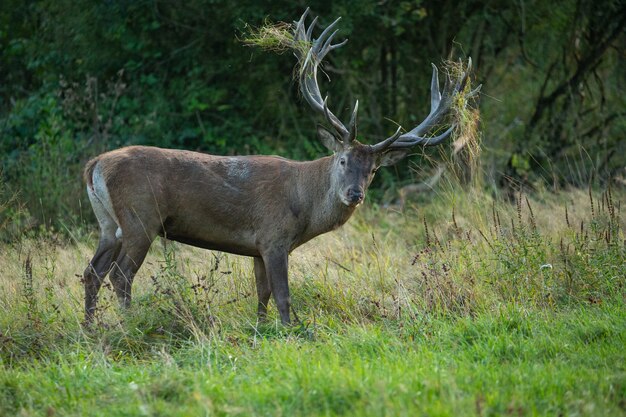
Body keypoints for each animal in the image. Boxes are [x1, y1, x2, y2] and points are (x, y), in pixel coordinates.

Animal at [80, 7, 476, 324]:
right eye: (343, 159)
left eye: (374, 170)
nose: (355, 194)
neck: (303, 205)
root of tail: (94, 164)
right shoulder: (273, 235)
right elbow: (283, 295)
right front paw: (290, 332)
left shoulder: (256, 247)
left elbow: (263, 295)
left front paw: (261, 330)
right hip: (140, 217)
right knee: (121, 275)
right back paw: (128, 323)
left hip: (108, 223)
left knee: (91, 272)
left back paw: (91, 327)